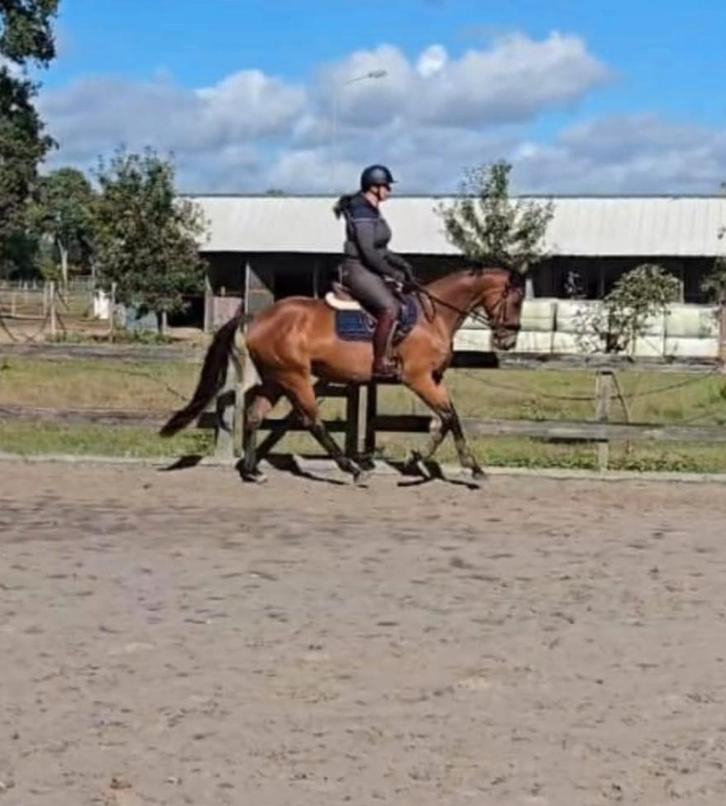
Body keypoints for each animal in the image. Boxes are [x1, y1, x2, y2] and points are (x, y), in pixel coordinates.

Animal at [160, 267, 525, 482]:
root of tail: (258, 316)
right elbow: (448, 417)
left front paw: (432, 461)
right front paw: (438, 464)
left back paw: (252, 471)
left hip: (277, 379)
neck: (431, 316)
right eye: (517, 300)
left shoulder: (433, 380)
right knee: (312, 420)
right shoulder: (418, 379)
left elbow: (449, 419)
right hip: (295, 378)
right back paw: (351, 468)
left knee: (254, 413)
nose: (508, 340)